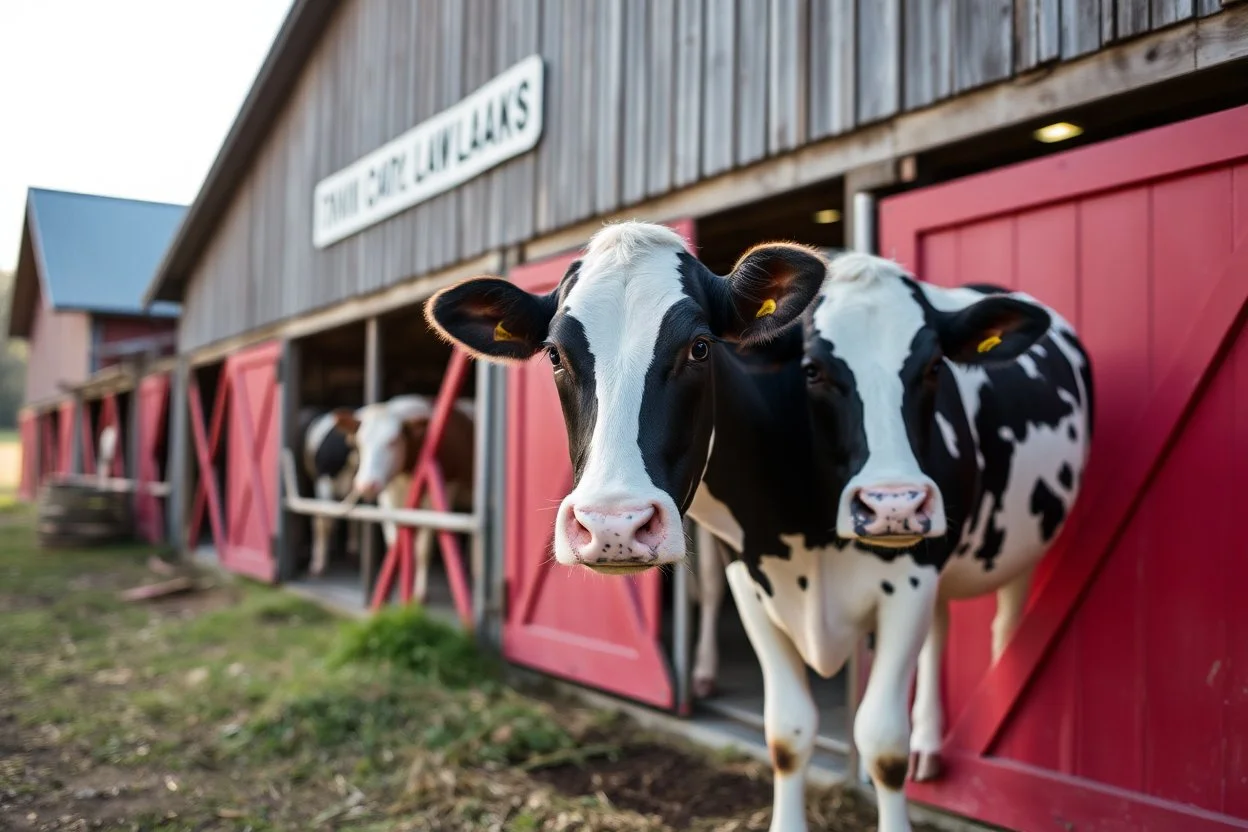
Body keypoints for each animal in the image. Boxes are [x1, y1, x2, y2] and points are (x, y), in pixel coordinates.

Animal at [329, 394, 474, 601]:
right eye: (360, 443)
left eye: (392, 442)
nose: (367, 484)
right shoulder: (388, 497)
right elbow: (395, 541)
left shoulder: (441, 494)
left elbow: (423, 549)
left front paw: (420, 593)